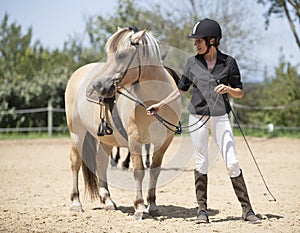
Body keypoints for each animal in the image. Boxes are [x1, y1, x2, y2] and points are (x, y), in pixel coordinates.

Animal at [65, 26, 180, 219]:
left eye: (122, 55)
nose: (98, 86)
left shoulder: (164, 142)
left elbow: (154, 170)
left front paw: (152, 205)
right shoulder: (134, 140)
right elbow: (138, 171)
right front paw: (139, 206)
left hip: (105, 140)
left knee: (101, 164)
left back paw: (108, 201)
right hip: (77, 133)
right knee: (75, 162)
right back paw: (75, 203)